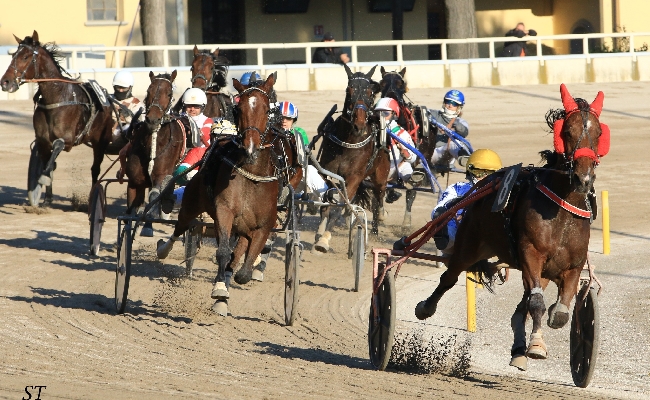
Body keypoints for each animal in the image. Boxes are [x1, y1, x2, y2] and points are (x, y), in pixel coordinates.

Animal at [0, 30, 113, 206]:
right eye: (13, 56)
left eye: (25, 57)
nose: (5, 82)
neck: (57, 97)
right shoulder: (43, 141)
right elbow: (49, 163)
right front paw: (47, 199)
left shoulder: (67, 140)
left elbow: (56, 150)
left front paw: (43, 179)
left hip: (100, 142)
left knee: (95, 169)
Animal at [156, 72, 300, 316]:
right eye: (239, 109)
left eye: (265, 109)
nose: (250, 148)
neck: (252, 175)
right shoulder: (224, 211)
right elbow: (223, 252)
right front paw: (220, 289)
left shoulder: (264, 224)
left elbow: (243, 267)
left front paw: (233, 280)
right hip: (193, 202)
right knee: (180, 226)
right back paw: (164, 250)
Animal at [312, 64, 388, 252]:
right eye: (349, 90)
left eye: (369, 92)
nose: (359, 124)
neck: (349, 142)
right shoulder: (326, 172)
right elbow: (326, 203)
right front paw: (319, 233)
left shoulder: (354, 177)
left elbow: (341, 205)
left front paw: (324, 240)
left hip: (380, 175)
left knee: (378, 198)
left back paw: (377, 225)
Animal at [412, 83, 604, 372]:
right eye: (567, 131)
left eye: (599, 132)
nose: (585, 178)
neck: (561, 209)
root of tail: (483, 187)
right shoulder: (530, 254)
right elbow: (537, 302)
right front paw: (536, 346)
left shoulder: (572, 265)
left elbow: (559, 312)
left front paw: (537, 338)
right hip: (470, 244)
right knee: (449, 276)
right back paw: (425, 307)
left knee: (520, 308)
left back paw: (519, 349)